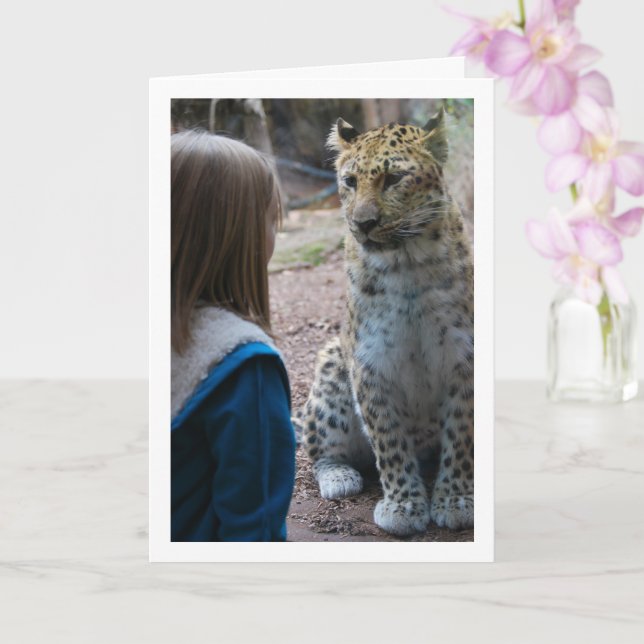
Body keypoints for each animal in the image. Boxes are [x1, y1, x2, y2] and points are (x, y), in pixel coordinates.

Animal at [298, 109, 474, 537]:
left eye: (393, 179)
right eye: (349, 181)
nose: (363, 223)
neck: (406, 262)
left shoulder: (463, 355)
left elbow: (461, 433)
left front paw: (456, 499)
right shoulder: (370, 361)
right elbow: (388, 438)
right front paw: (404, 507)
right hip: (331, 366)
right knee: (318, 450)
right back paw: (339, 477)